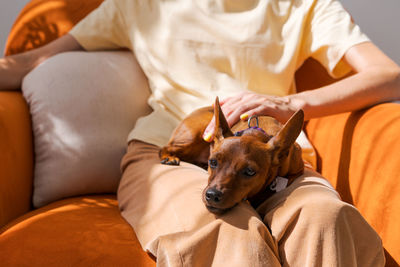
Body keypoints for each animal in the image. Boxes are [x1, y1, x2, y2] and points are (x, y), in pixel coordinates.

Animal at [159, 97, 304, 215]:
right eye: (213, 162)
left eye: (250, 171)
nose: (212, 195)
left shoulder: (297, 171)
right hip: (194, 136)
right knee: (165, 148)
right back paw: (169, 158)